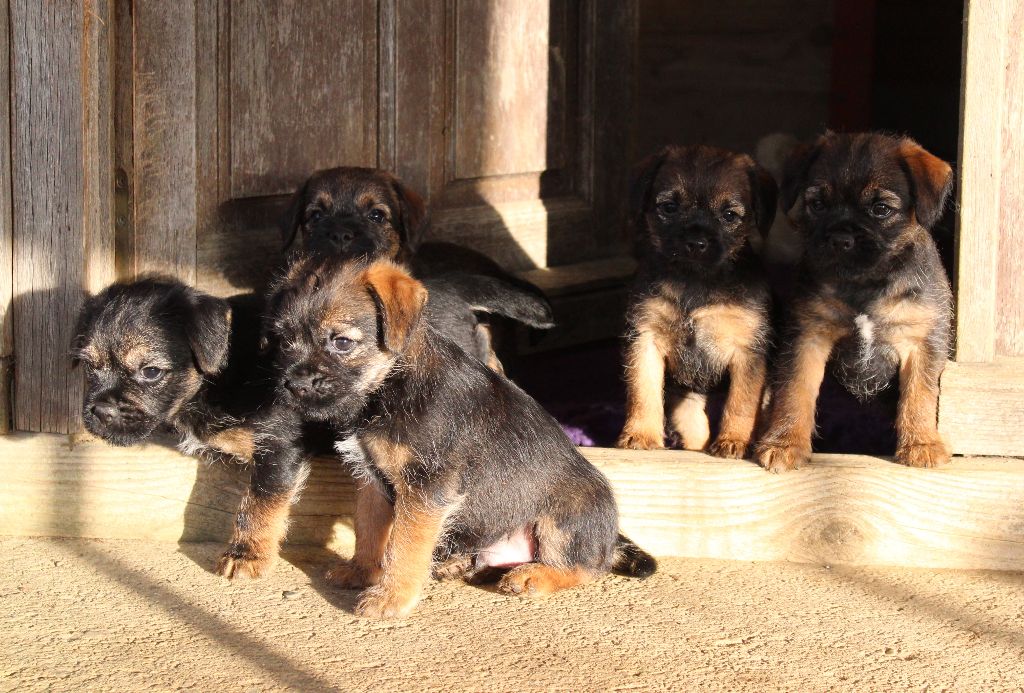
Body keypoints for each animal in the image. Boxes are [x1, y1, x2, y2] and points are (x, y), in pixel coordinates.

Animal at [252, 253, 655, 618]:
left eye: (342, 342)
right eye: (283, 341)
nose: (293, 385)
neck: (391, 384)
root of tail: (611, 535)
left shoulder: (426, 489)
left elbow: (404, 546)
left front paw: (391, 598)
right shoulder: (372, 480)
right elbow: (369, 530)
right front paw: (361, 571)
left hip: (565, 520)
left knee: (589, 567)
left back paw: (533, 577)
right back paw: (459, 565)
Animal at [614, 144, 774, 458]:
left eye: (729, 215)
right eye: (669, 208)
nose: (696, 243)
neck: (695, 282)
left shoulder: (748, 350)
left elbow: (742, 401)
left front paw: (734, 441)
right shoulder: (645, 338)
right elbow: (642, 390)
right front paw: (641, 434)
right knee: (695, 427)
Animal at [757, 132, 954, 472]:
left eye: (881, 209)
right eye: (818, 204)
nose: (840, 238)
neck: (865, 283)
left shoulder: (923, 341)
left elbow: (920, 392)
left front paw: (921, 443)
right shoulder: (807, 336)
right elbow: (795, 390)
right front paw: (785, 443)